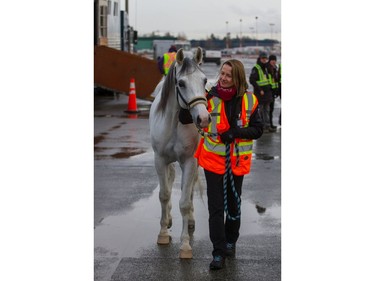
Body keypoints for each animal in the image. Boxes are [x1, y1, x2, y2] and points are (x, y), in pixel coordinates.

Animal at [149, 46, 212, 258]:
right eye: (181, 83)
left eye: (204, 80)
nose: (203, 118)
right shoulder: (160, 160)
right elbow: (164, 195)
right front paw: (162, 233)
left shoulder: (189, 162)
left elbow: (184, 202)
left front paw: (185, 245)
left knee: (190, 191)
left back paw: (190, 220)